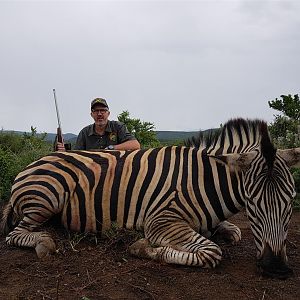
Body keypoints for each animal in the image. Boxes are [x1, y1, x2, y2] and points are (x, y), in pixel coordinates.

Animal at [0, 118, 298, 278]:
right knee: (14, 235)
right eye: (252, 204)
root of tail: (34, 162)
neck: (202, 180)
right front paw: (142, 246)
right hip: (46, 197)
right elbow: (211, 252)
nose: (276, 269)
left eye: (290, 203)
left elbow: (233, 232)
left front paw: (224, 230)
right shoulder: (162, 221)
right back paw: (44, 242)